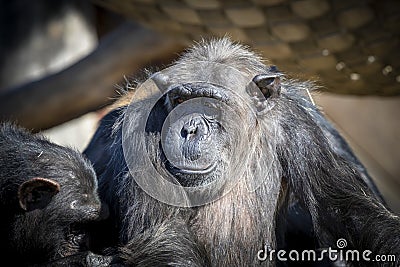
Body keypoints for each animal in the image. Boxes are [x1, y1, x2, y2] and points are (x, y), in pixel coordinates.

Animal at [83, 38, 398, 266]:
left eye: (210, 104)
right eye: (181, 100)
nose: (190, 128)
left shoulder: (298, 126)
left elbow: (345, 209)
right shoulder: (140, 126)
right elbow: (162, 234)